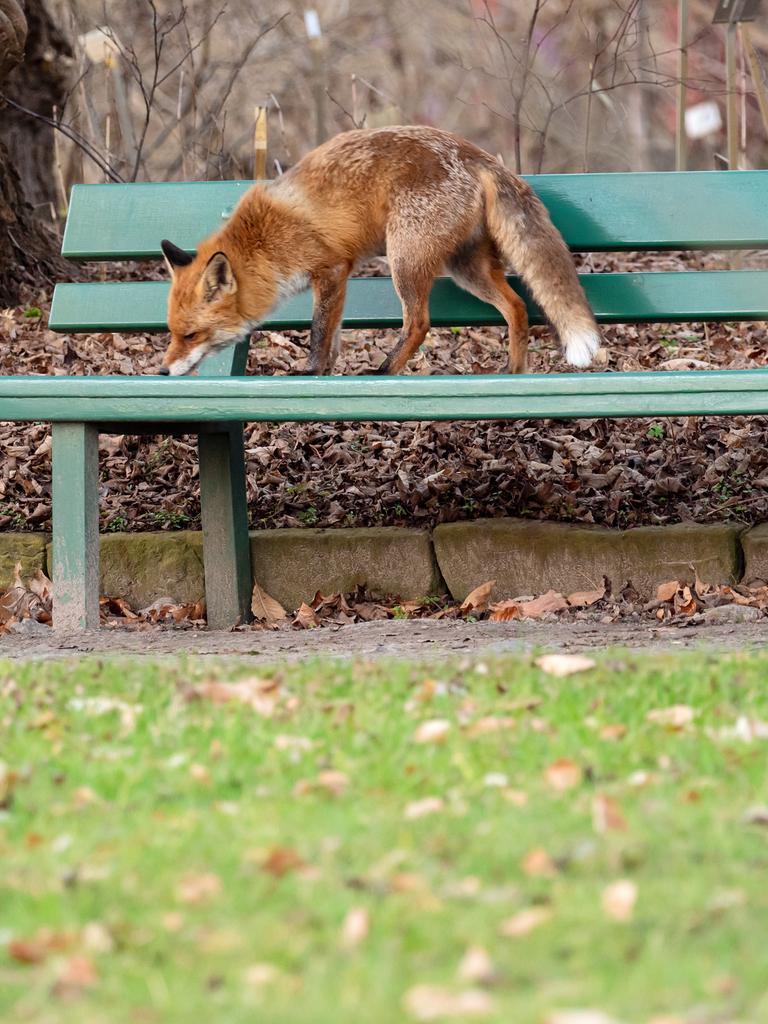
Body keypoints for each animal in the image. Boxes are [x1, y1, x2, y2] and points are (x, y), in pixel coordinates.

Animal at [159, 125, 601, 377]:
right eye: (172, 333)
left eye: (191, 334)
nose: (162, 373)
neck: (261, 243)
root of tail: (477, 155)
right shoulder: (336, 278)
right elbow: (332, 334)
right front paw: (325, 371)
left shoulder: (331, 268)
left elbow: (318, 332)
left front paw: (309, 373)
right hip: (466, 268)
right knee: (517, 306)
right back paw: (514, 369)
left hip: (404, 259)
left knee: (419, 323)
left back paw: (385, 370)